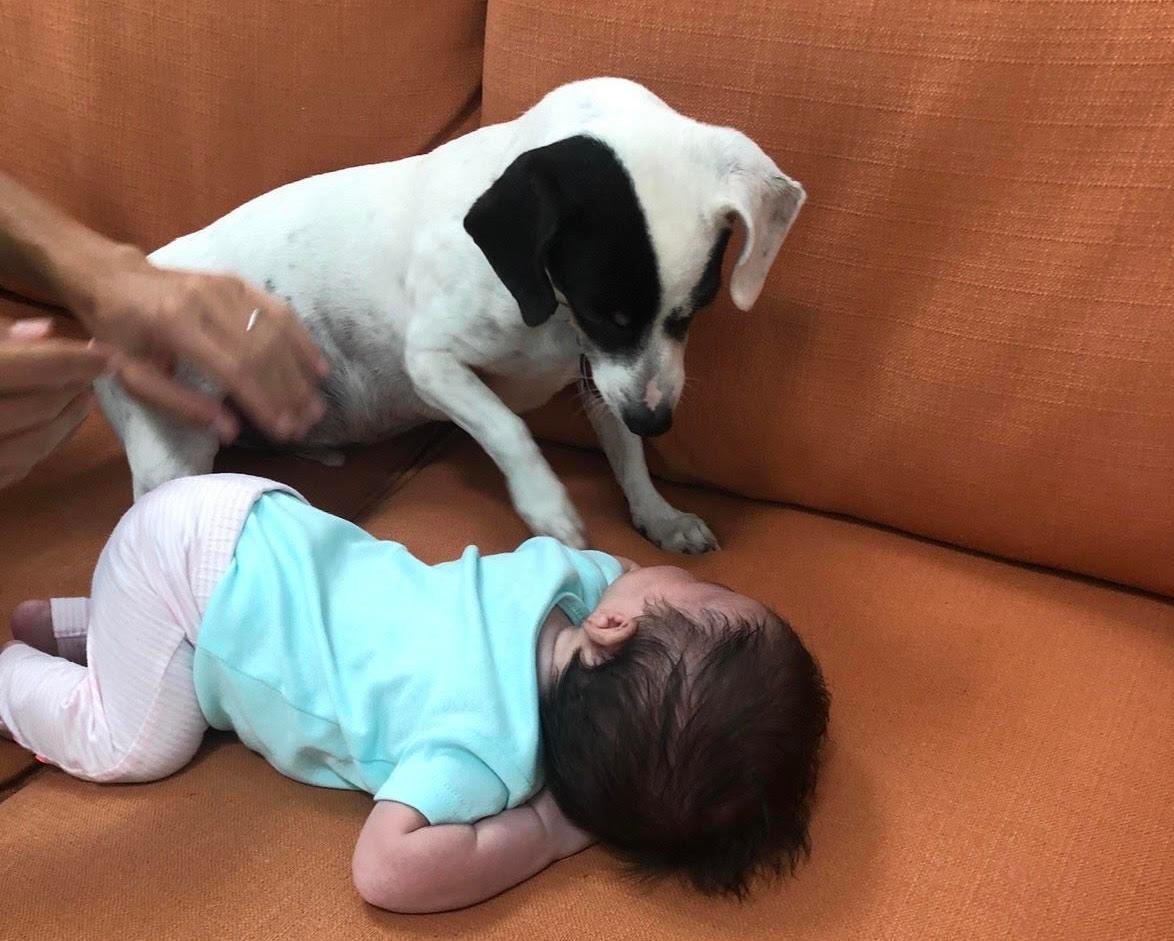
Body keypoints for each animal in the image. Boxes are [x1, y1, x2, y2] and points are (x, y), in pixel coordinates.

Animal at [96, 80, 803, 553]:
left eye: (697, 309)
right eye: (606, 312)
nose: (657, 422)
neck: (544, 306)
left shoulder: (606, 378)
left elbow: (626, 453)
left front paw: (658, 514)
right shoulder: (435, 365)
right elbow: (508, 429)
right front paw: (547, 504)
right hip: (172, 454)